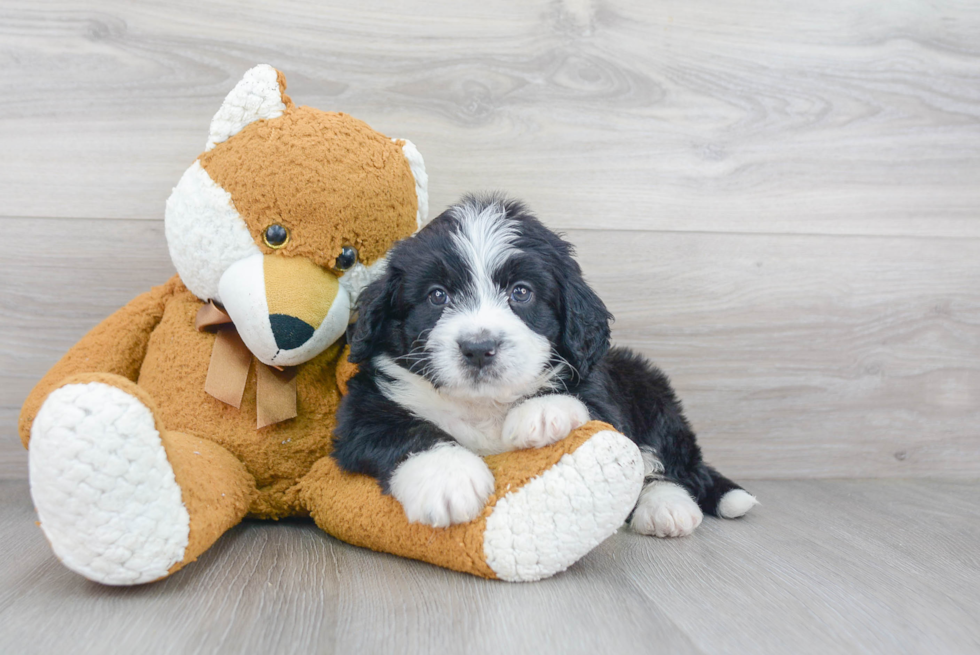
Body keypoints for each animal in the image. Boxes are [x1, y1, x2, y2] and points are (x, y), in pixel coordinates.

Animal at [334, 196, 760, 540]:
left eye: (521, 292)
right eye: (437, 296)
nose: (479, 349)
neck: (483, 405)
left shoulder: (601, 387)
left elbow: (588, 401)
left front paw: (541, 412)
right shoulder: (363, 408)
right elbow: (402, 429)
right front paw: (448, 477)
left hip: (650, 389)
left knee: (666, 465)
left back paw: (666, 507)